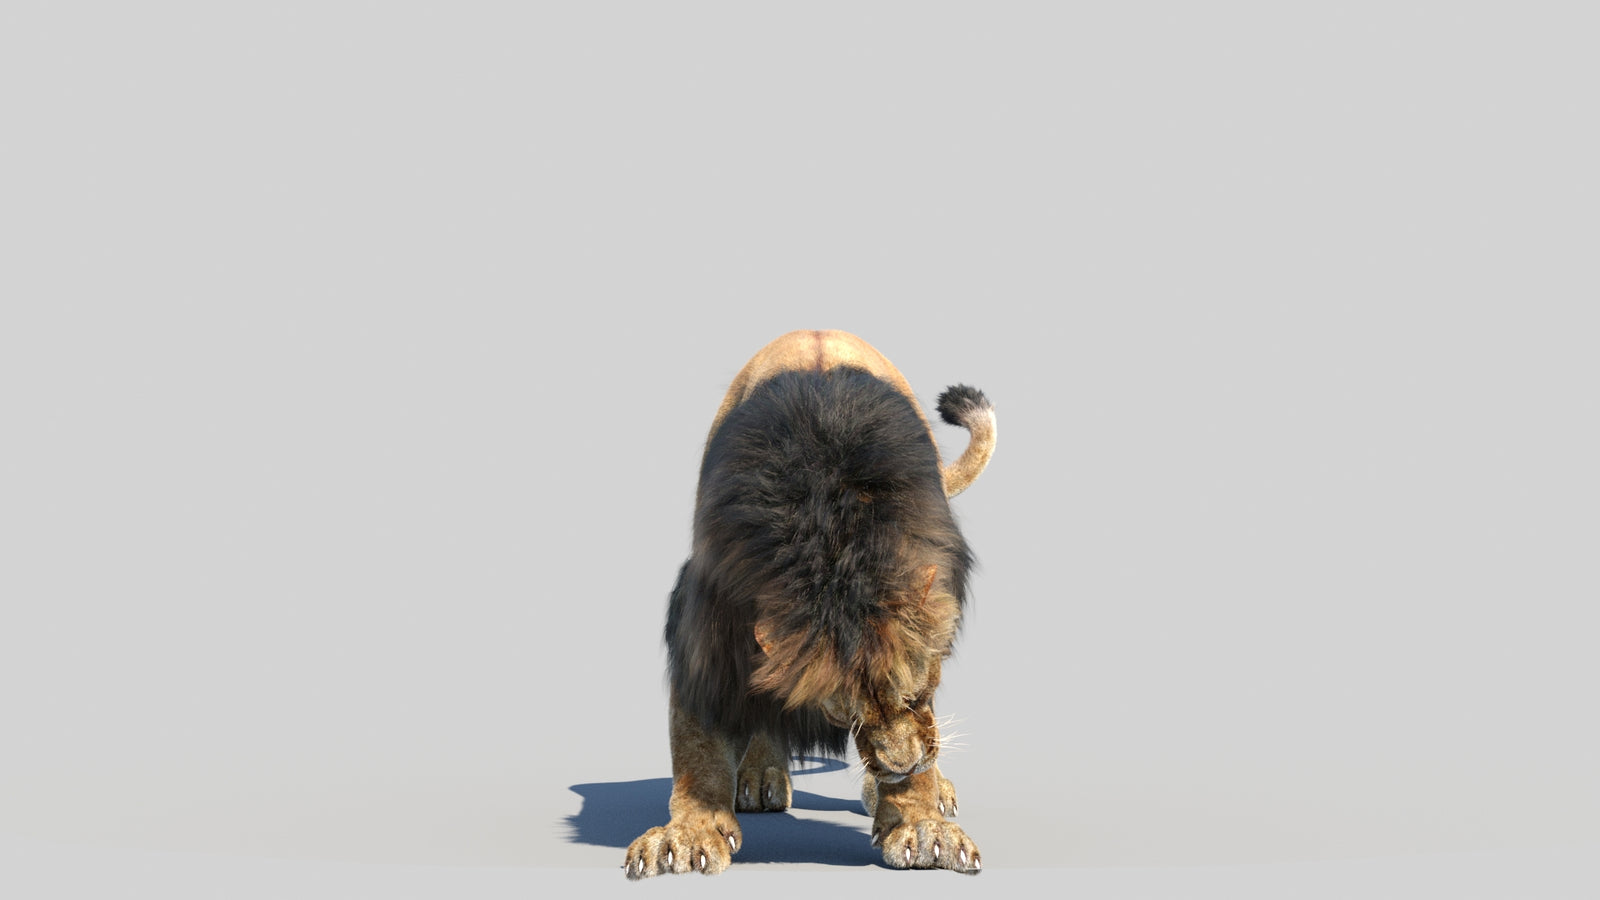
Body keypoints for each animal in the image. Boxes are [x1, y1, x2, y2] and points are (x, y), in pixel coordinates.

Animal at [623, 330, 996, 879]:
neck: (836, 543)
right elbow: (698, 745)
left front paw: (921, 825)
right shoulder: (708, 618)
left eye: (916, 692)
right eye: (845, 716)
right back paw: (761, 776)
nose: (900, 765)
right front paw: (687, 835)